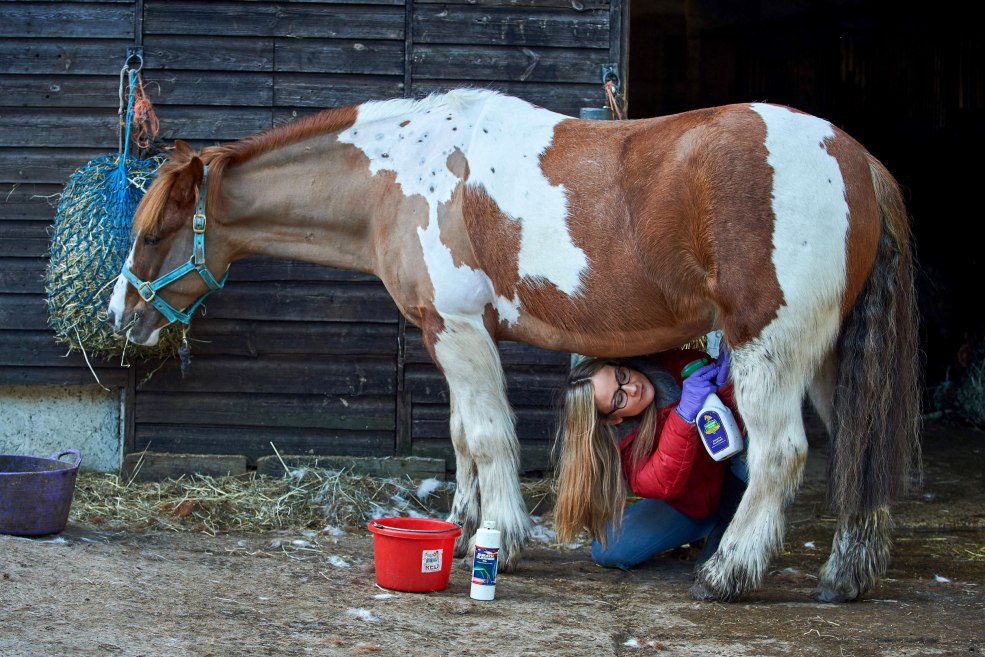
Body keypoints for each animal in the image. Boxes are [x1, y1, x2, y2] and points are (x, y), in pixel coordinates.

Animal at [106, 88, 921, 602]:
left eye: (151, 233)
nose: (120, 316)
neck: (403, 174)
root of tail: (855, 159)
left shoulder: (460, 329)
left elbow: (489, 437)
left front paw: (503, 537)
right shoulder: (446, 333)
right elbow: (462, 436)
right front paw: (468, 527)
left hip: (768, 349)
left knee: (781, 454)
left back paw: (726, 575)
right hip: (827, 356)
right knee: (857, 450)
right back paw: (845, 578)